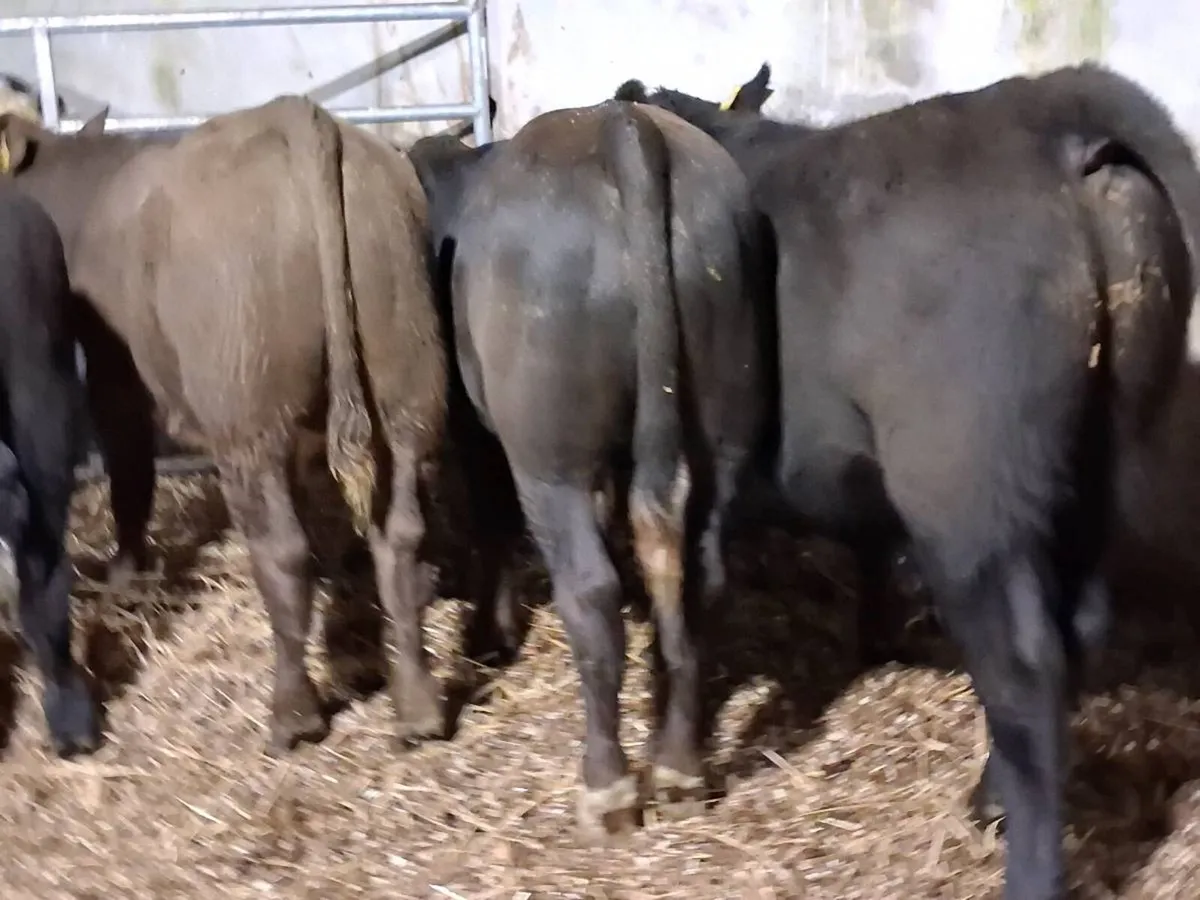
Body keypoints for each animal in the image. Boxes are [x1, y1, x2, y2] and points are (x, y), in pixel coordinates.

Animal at [0, 95, 451, 754]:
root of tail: (299, 116)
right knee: (400, 534)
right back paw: (417, 709)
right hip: (404, 377)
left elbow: (130, 471)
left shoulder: (114, 371)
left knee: (282, 551)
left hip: (248, 411)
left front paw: (128, 573)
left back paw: (293, 715)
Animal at [406, 100, 776, 842]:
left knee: (590, 593)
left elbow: (493, 522)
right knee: (701, 577)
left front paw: (491, 634)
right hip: (726, 418)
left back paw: (607, 787)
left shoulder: (478, 434)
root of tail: (623, 124)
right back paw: (679, 767)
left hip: (550, 456)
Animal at [613, 63, 1200, 899]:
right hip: (1099, 460)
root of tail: (1050, 111)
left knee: (1024, 669)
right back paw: (990, 796)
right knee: (1081, 622)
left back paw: (1025, 861)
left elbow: (690, 595)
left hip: (964, 485)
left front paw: (673, 762)